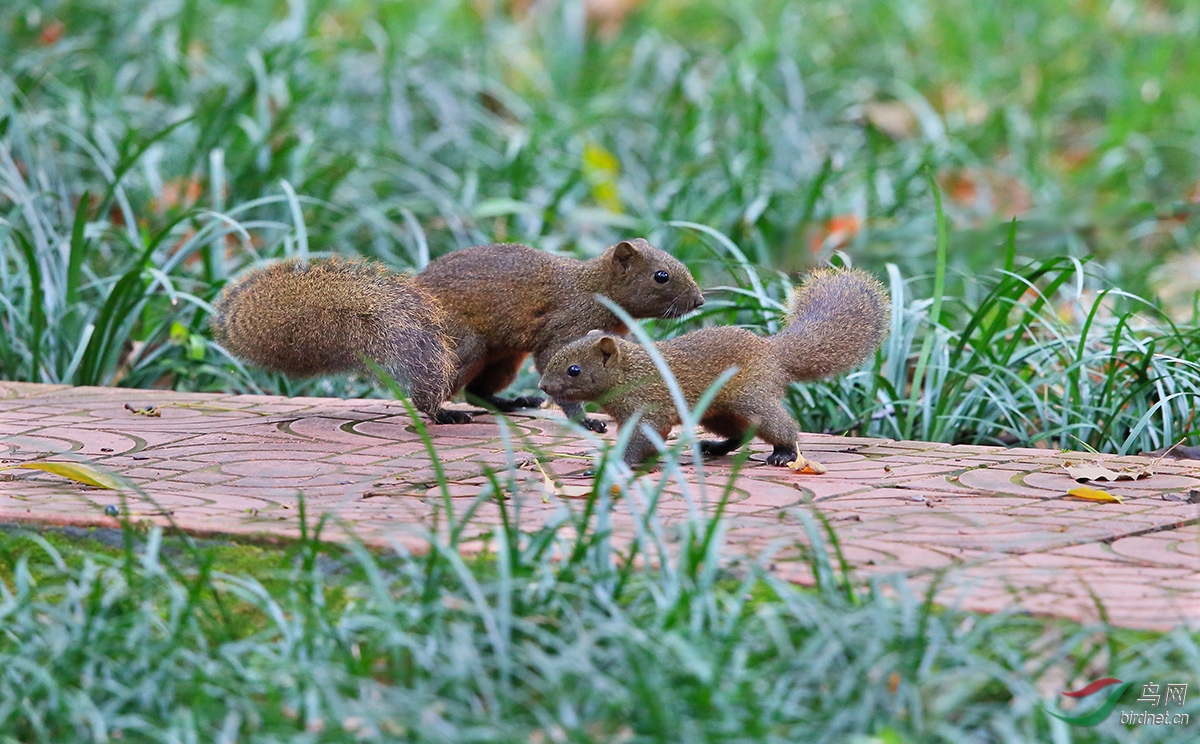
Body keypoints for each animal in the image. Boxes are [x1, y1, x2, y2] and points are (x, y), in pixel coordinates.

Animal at [211, 241, 700, 427]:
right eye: (661, 276)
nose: (698, 301)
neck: (595, 289)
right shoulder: (566, 326)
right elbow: (556, 368)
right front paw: (585, 419)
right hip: (459, 348)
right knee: (430, 394)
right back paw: (443, 414)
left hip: (502, 358)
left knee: (480, 392)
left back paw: (512, 403)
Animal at [540, 267, 888, 465]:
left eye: (574, 369)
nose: (543, 386)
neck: (632, 372)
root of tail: (771, 350)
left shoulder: (650, 408)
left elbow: (643, 439)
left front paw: (615, 465)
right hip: (716, 412)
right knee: (742, 434)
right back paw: (714, 448)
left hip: (751, 397)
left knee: (783, 427)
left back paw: (784, 454)